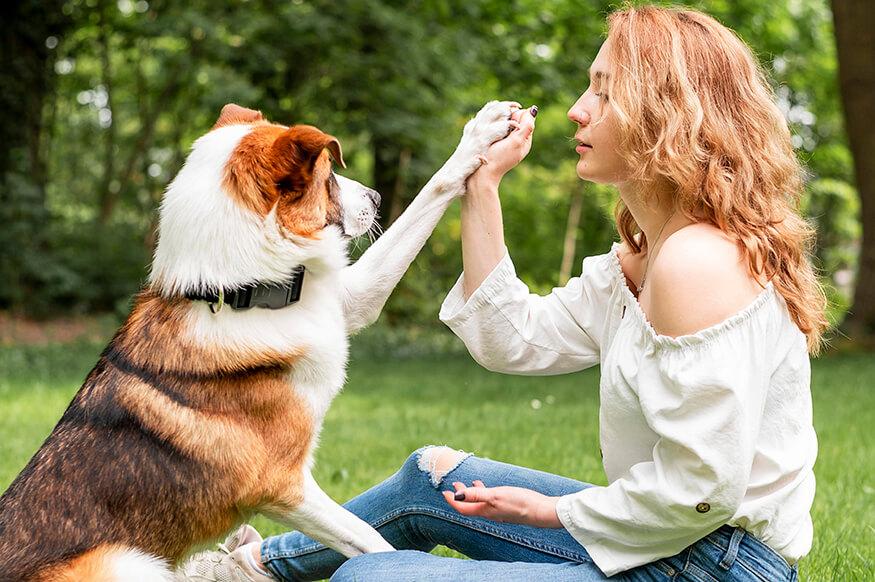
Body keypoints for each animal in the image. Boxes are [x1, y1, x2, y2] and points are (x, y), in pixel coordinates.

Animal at [0, 102, 516, 580]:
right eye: (328, 176)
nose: (376, 195)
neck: (236, 295)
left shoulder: (349, 300)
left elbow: (430, 194)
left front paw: (482, 136)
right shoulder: (286, 487)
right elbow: (374, 544)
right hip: (125, 561)